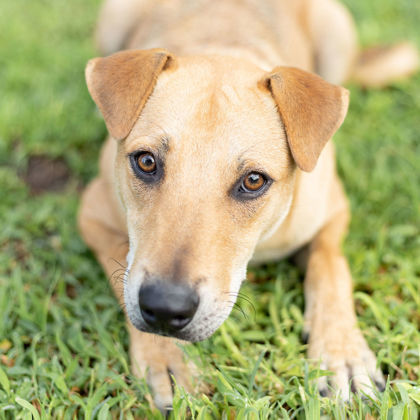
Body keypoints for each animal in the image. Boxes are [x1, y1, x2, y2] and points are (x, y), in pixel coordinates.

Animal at [78, 0, 416, 410]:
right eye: (145, 161)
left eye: (253, 181)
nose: (165, 309)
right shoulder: (92, 213)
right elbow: (122, 265)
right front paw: (165, 356)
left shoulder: (331, 212)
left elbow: (330, 269)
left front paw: (342, 352)